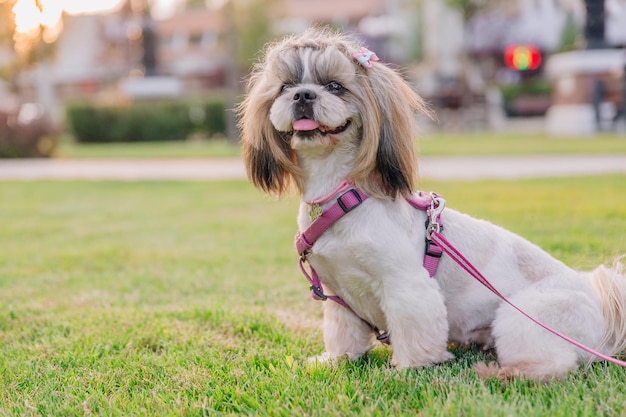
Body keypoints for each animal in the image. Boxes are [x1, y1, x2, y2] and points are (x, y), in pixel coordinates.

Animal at [235, 26, 624, 380]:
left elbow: (414, 329)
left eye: (334, 86)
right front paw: (336, 359)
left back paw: (498, 372)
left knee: (553, 366)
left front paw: (408, 368)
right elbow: (343, 334)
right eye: (284, 87)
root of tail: (603, 312)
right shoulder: (339, 296)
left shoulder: (407, 286)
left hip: (524, 317)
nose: (302, 94)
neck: (341, 194)